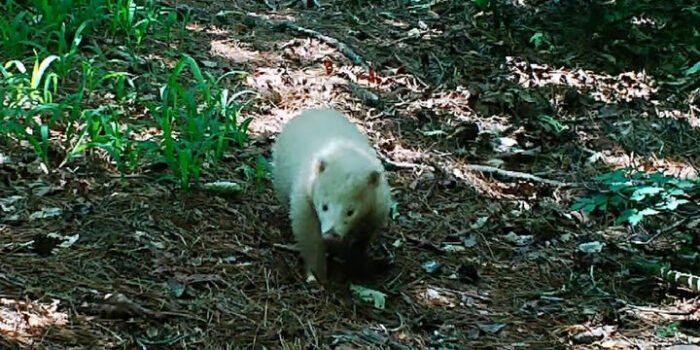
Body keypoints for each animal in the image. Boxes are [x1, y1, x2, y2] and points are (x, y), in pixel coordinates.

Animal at [272, 108, 394, 284]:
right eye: (324, 206)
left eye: (351, 211)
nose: (331, 235)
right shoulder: (305, 196)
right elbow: (309, 236)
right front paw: (317, 276)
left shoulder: (377, 206)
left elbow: (362, 237)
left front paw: (355, 265)